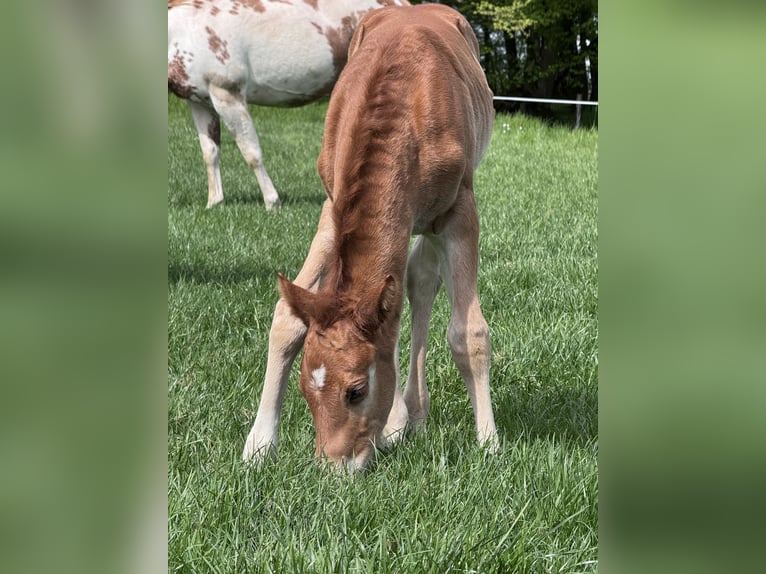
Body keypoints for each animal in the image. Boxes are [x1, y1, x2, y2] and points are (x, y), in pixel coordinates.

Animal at [168, 0, 407, 208]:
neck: (184, 32)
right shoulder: (200, 103)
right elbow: (210, 152)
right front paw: (214, 203)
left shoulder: (227, 95)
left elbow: (251, 153)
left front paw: (271, 202)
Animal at [243, 3, 499, 470]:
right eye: (306, 388)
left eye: (356, 390)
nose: (335, 468)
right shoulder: (333, 206)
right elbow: (288, 316)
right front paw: (259, 444)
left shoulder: (458, 212)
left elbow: (467, 332)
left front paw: (489, 443)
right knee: (409, 286)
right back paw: (403, 420)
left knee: (421, 281)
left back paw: (414, 415)